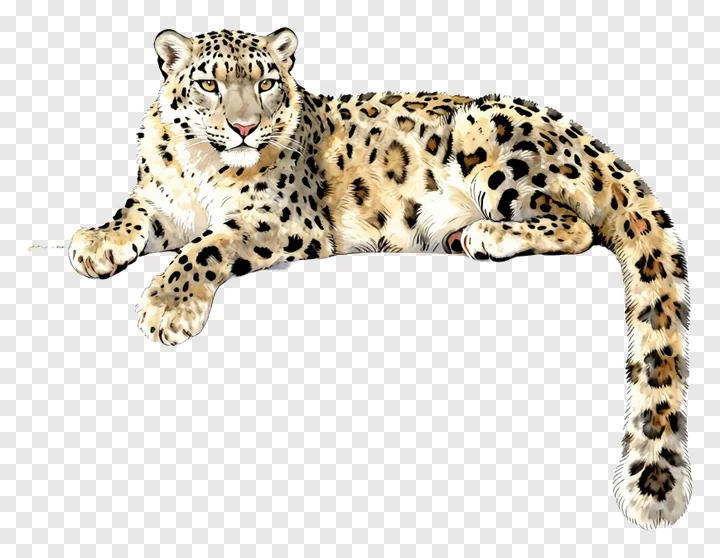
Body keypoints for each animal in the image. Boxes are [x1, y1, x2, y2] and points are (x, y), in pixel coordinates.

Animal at [68, 27, 691, 529]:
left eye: (266, 82)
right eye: (209, 85)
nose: (245, 127)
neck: (201, 169)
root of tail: (598, 147)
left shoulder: (282, 220)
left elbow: (210, 246)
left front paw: (167, 307)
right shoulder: (164, 202)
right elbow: (135, 212)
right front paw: (95, 244)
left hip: (489, 137)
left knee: (577, 226)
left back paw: (482, 236)